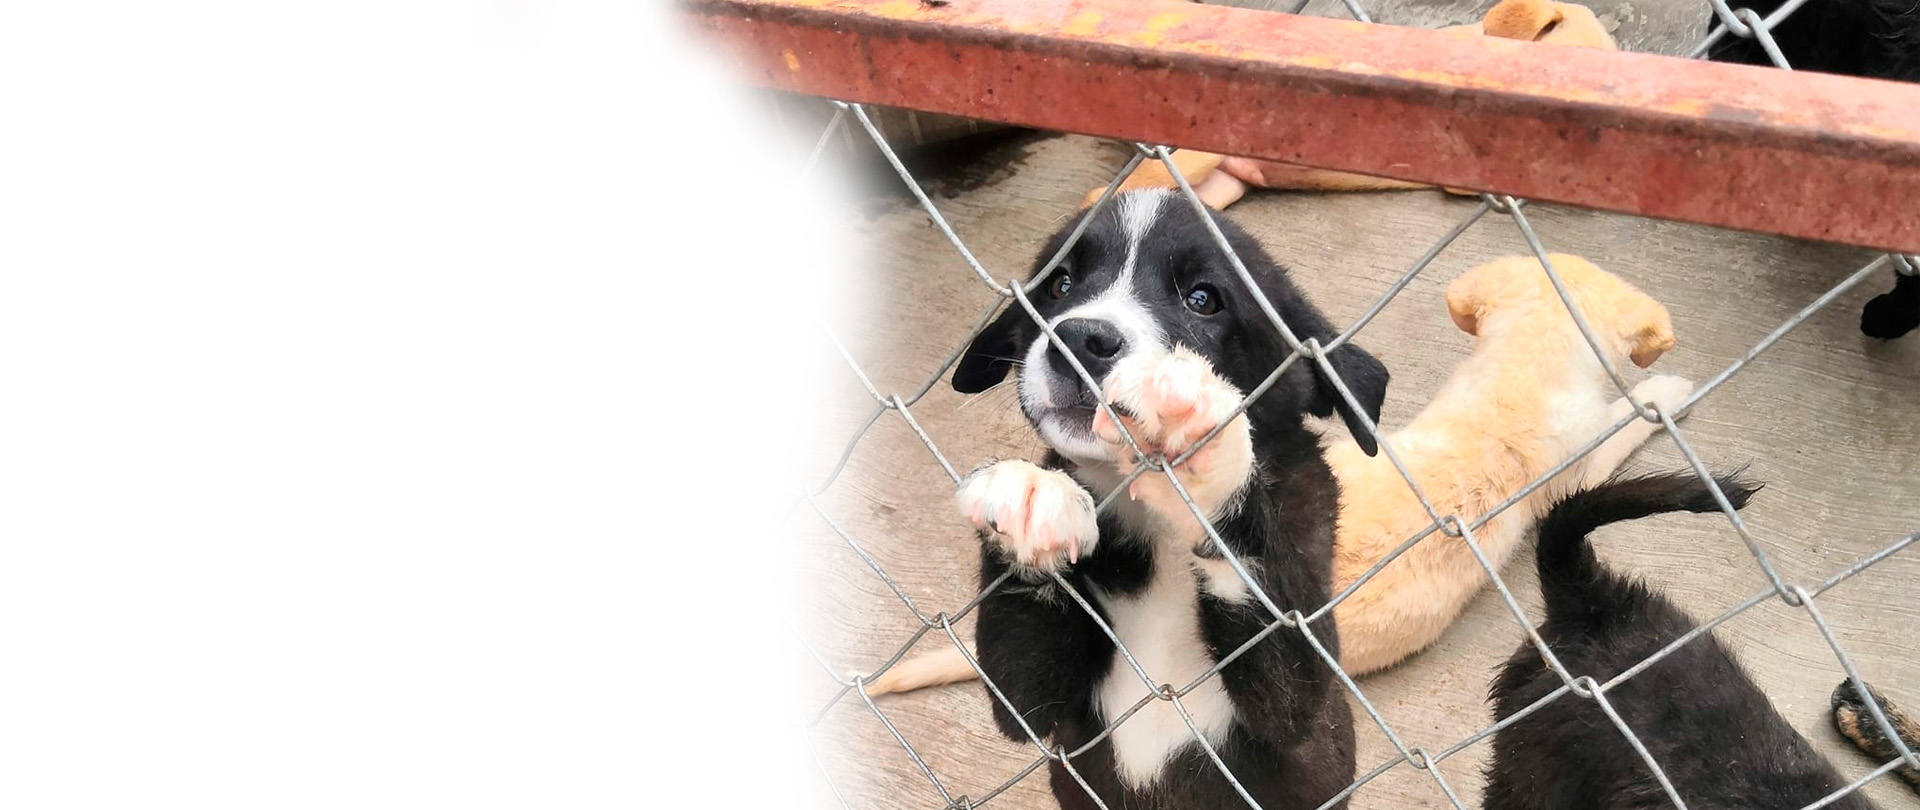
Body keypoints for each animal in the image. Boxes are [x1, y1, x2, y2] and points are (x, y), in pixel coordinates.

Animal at [952, 188, 1390, 810]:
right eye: (1060, 285)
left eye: (1203, 300)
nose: (1078, 339)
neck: (1152, 521)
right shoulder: (1035, 711)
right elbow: (1020, 694)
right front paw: (1030, 502)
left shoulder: (1301, 697)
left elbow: (1287, 683)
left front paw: (1199, 444)